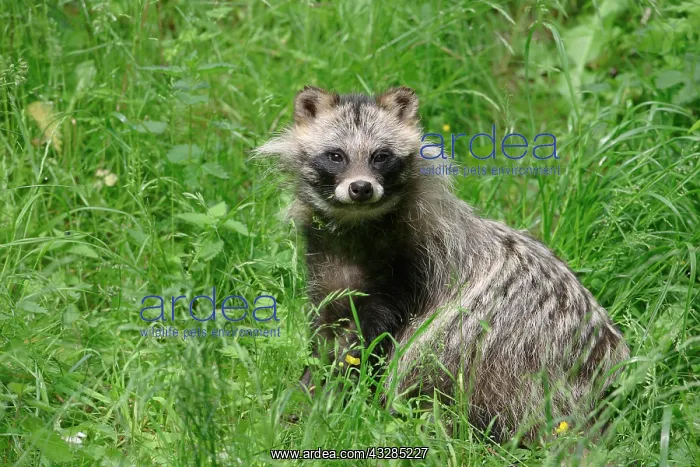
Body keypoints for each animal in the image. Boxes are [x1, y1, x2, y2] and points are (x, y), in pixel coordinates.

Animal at [255, 86, 629, 442]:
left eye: (381, 157)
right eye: (336, 155)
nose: (361, 188)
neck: (356, 228)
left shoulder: (411, 269)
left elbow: (367, 340)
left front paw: (324, 395)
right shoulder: (325, 269)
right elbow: (325, 331)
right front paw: (307, 387)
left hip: (514, 356)